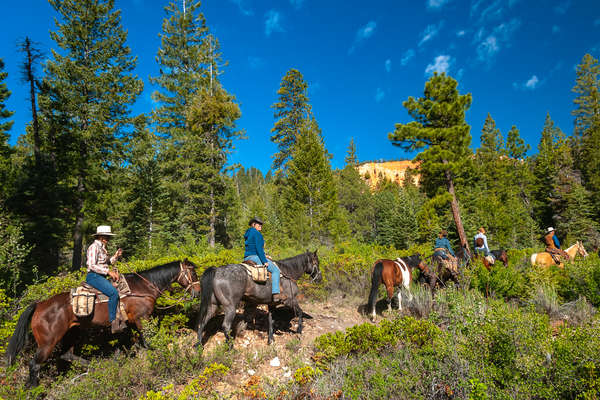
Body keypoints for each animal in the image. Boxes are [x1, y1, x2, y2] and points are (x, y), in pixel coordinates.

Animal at [5, 260, 200, 388]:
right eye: (193, 273)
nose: (198, 292)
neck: (144, 288)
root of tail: (39, 305)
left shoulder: (128, 324)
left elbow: (127, 346)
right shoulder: (141, 319)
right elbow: (148, 341)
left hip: (71, 333)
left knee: (67, 354)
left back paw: (96, 366)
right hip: (48, 342)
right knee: (35, 364)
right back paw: (33, 389)